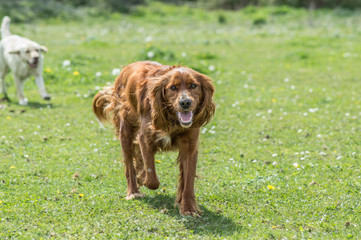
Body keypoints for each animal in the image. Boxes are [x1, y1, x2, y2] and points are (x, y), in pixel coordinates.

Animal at [94, 61, 215, 215]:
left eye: (193, 85)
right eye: (173, 87)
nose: (185, 103)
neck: (173, 120)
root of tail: (128, 67)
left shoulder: (190, 147)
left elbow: (188, 181)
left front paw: (188, 208)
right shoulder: (145, 138)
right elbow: (152, 179)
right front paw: (144, 179)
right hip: (126, 131)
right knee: (129, 165)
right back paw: (133, 191)